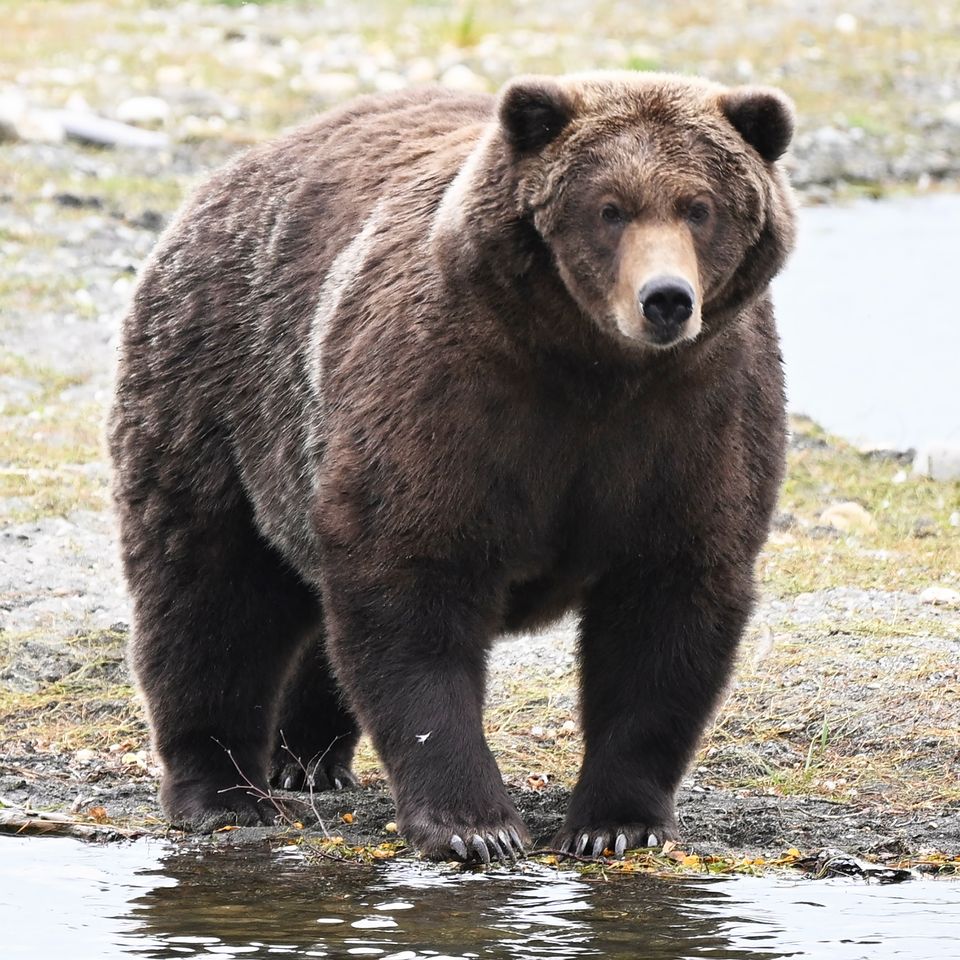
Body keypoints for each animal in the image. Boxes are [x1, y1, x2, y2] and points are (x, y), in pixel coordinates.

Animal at [109, 71, 795, 863]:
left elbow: (668, 609)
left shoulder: (695, 418)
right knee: (208, 592)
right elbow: (414, 587)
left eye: (700, 207)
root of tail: (226, 177)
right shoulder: (450, 395)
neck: (593, 369)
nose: (666, 300)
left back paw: (306, 758)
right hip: (220, 395)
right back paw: (221, 792)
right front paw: (477, 826)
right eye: (609, 208)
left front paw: (615, 823)